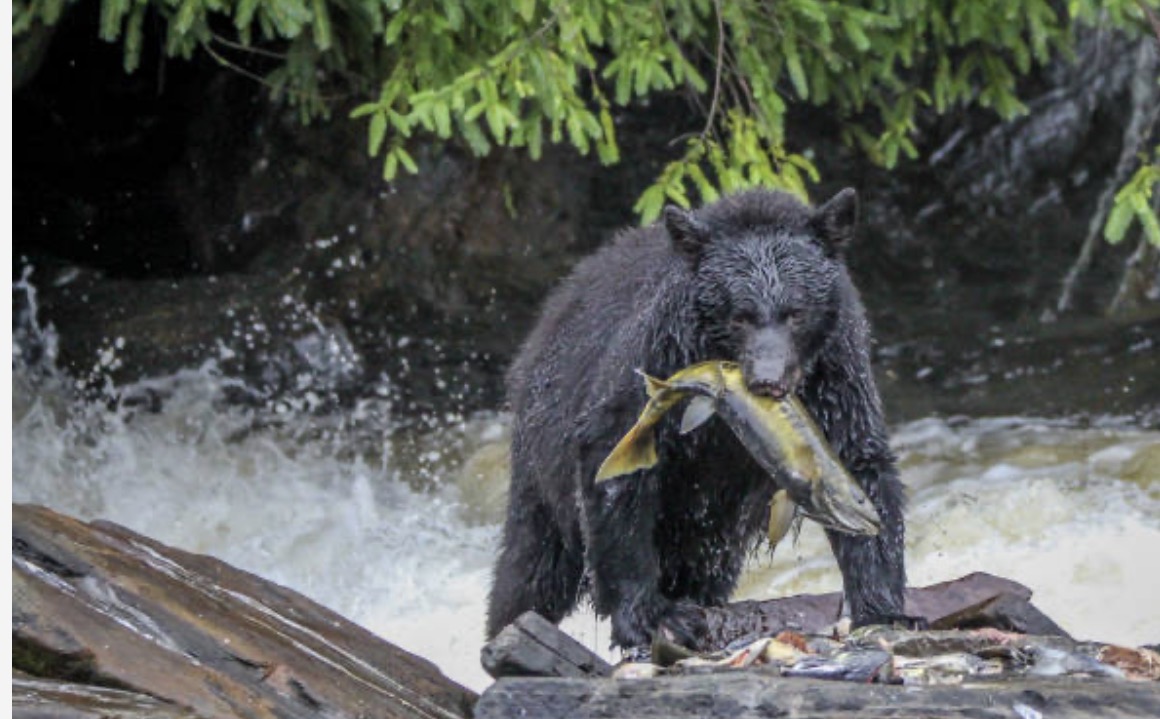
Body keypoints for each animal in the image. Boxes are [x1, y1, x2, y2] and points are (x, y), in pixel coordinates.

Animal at [485, 188, 907, 650]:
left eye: (796, 312)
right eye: (739, 315)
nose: (768, 380)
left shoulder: (836, 374)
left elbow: (860, 457)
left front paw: (881, 607)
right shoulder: (657, 353)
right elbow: (614, 464)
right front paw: (650, 617)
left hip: (704, 531)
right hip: (542, 460)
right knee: (532, 569)